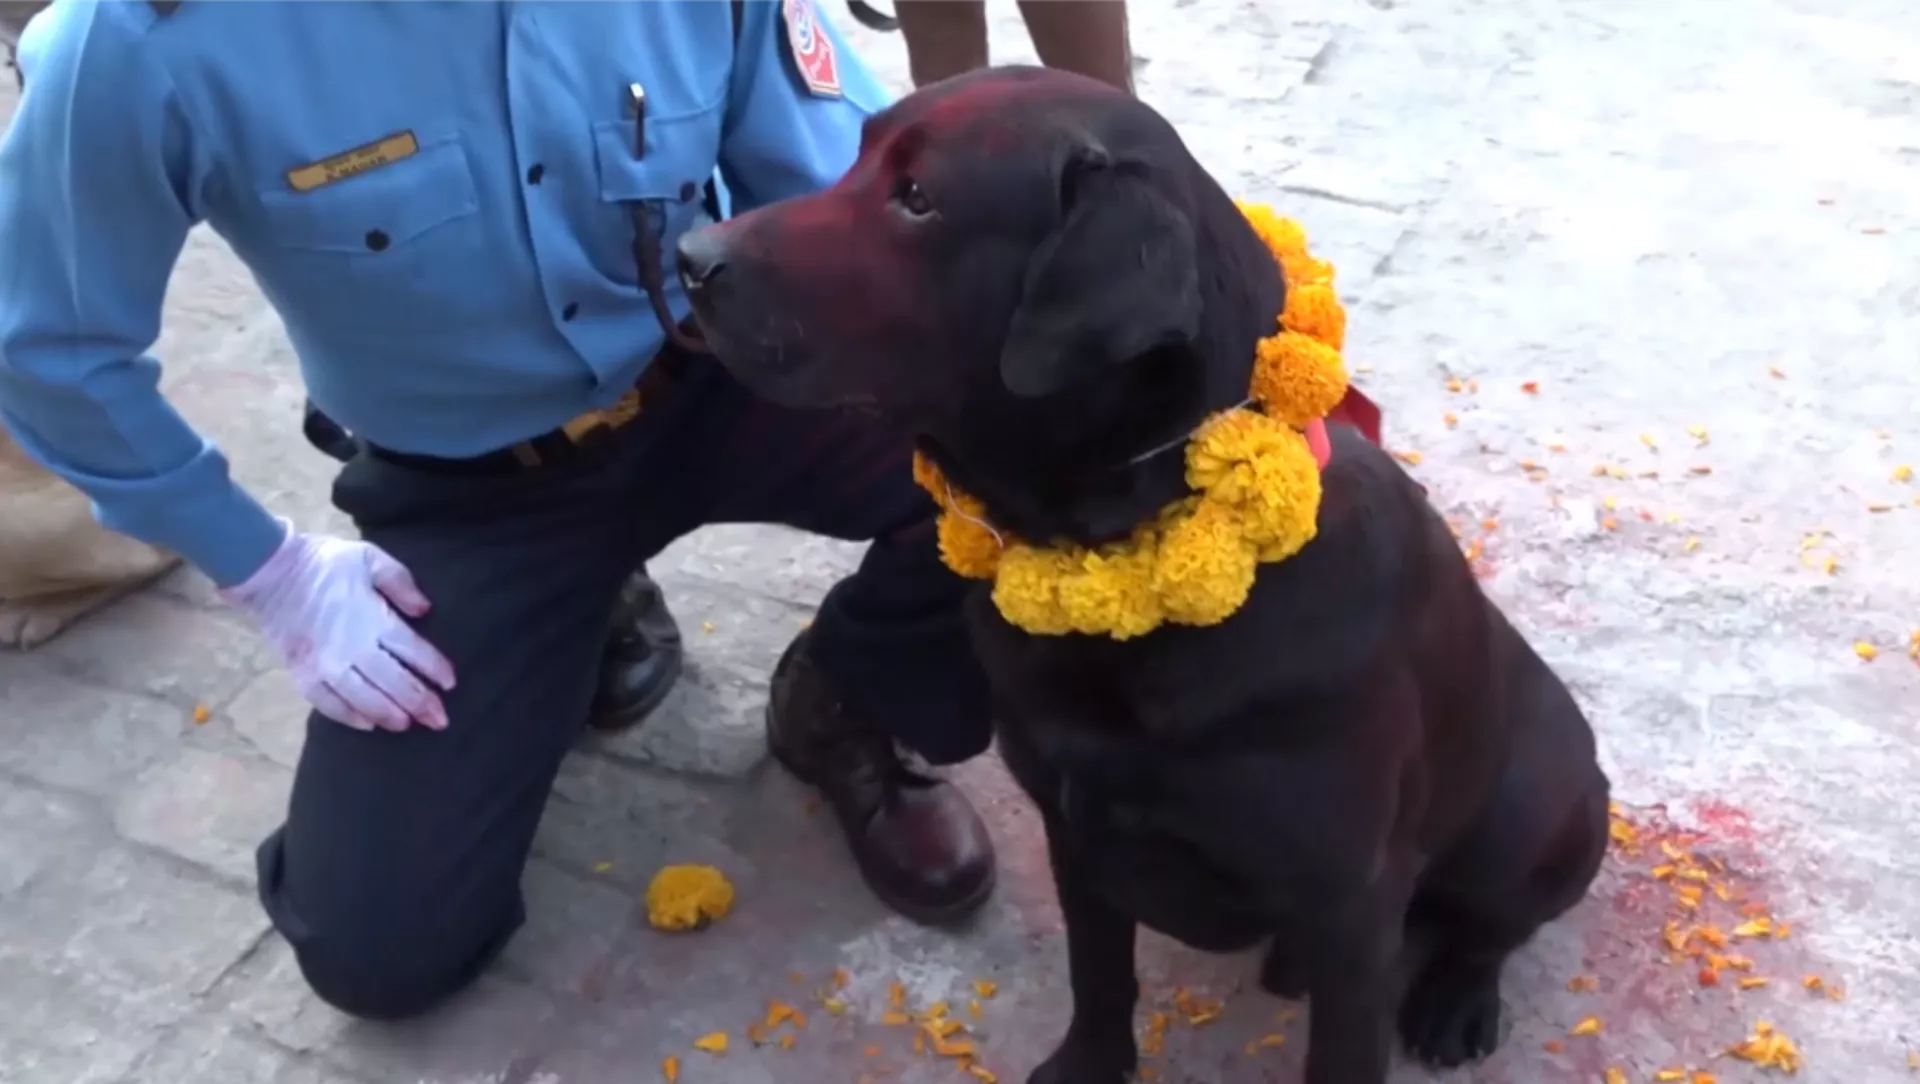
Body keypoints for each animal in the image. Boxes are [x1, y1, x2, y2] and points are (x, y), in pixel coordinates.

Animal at [677, 66, 1610, 1084]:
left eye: (917, 198)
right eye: (857, 153)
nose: (688, 255)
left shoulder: (1352, 902)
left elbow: (1343, 1047)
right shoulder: (1072, 828)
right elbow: (1098, 972)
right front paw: (1088, 1062)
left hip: (1539, 806)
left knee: (1495, 923)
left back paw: (1456, 1002)